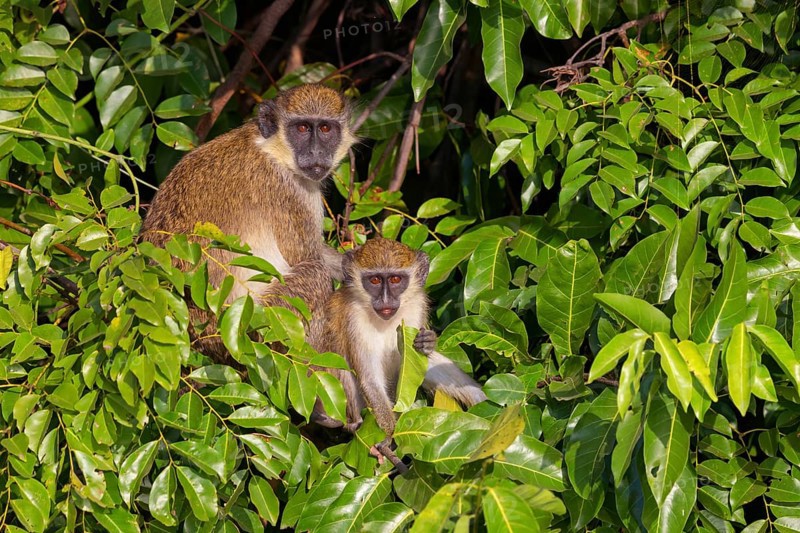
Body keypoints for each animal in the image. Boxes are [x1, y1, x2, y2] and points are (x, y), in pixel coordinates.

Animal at [140, 84, 356, 360]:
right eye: (302, 128)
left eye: (326, 129)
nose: (316, 152)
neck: (271, 148)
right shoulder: (290, 192)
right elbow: (308, 257)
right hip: (262, 322)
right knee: (315, 276)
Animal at [309, 238, 487, 464]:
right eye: (375, 280)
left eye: (395, 279)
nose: (385, 301)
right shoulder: (353, 318)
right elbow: (369, 379)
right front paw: (388, 435)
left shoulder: (417, 306)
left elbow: (410, 366)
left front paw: (428, 342)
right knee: (341, 362)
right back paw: (355, 423)